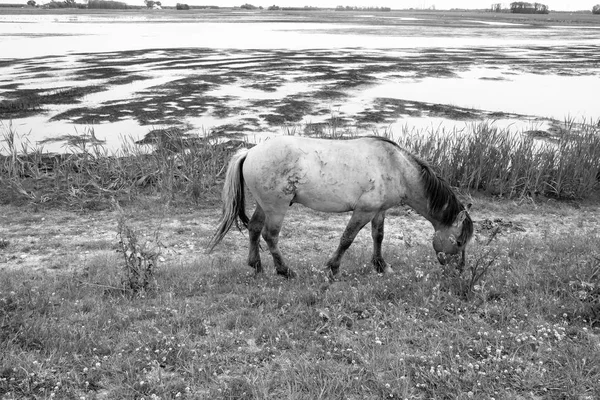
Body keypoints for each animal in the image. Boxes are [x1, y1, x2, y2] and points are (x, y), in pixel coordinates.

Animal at [207, 136, 474, 280]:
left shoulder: (379, 211)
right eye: (460, 241)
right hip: (276, 208)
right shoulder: (364, 211)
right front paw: (333, 268)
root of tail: (250, 151)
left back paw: (257, 266)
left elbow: (378, 236)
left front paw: (381, 265)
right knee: (269, 236)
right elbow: (347, 239)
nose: (460, 270)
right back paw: (285, 271)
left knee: (254, 229)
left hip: (265, 206)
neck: (396, 166)